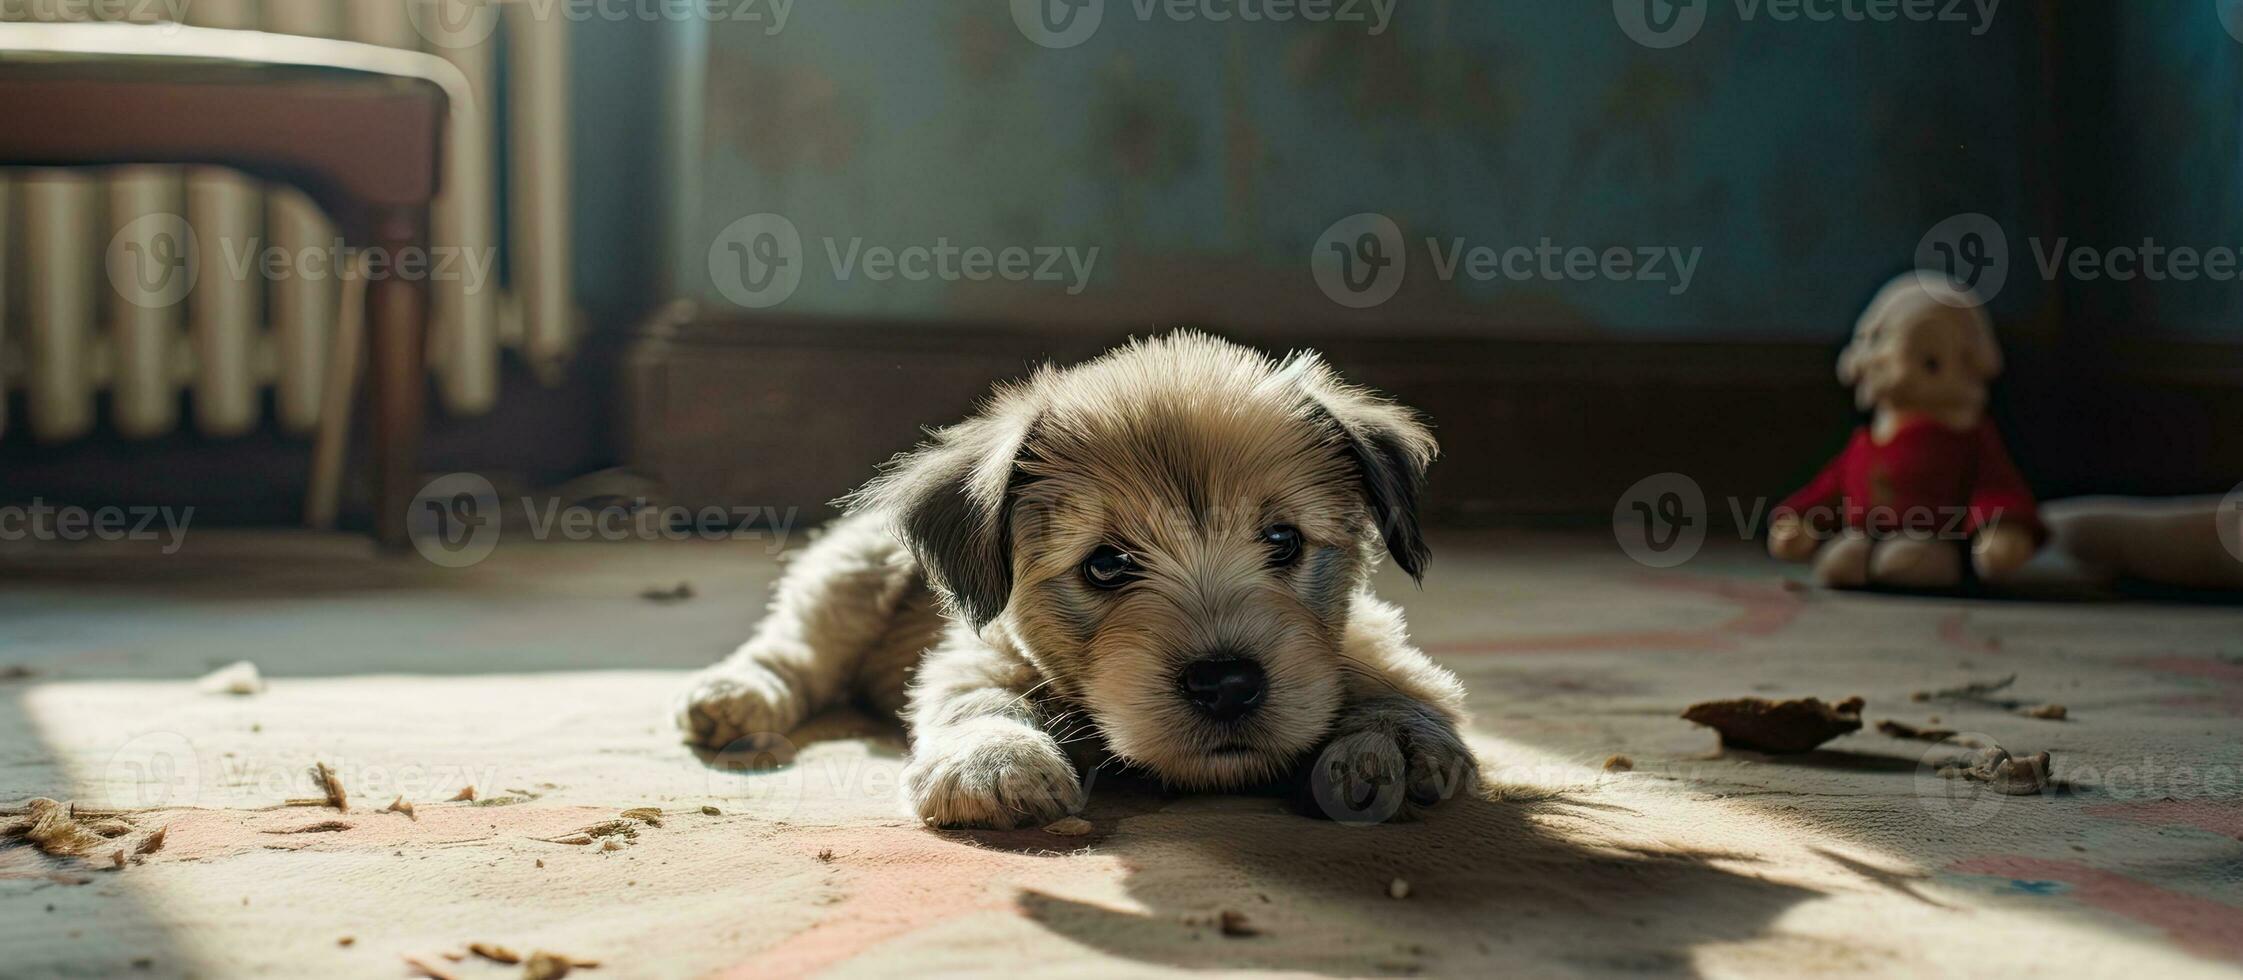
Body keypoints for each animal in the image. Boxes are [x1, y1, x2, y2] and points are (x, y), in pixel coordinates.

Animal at [672, 334, 1480, 825]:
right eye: (1105, 563)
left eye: (1283, 540)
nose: (1226, 683)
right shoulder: (972, 658)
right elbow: (977, 704)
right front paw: (997, 760)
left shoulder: (1370, 645)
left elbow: (1407, 692)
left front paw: (1388, 745)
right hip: (851, 577)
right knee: (795, 651)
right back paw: (737, 697)